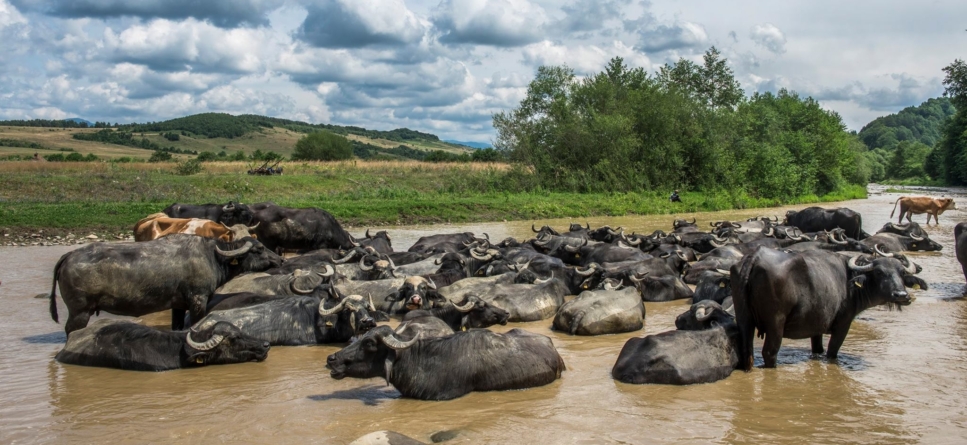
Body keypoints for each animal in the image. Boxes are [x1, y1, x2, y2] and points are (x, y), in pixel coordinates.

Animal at [49, 236, 282, 332]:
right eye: (259, 249)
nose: (280, 259)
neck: (213, 257)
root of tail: (69, 255)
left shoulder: (177, 305)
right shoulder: (197, 300)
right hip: (80, 311)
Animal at [732, 246, 916, 368]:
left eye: (902, 272)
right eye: (879, 272)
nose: (901, 295)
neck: (850, 283)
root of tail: (755, 257)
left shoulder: (816, 326)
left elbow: (817, 348)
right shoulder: (843, 324)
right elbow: (832, 352)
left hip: (743, 318)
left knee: (747, 349)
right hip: (775, 323)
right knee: (770, 352)